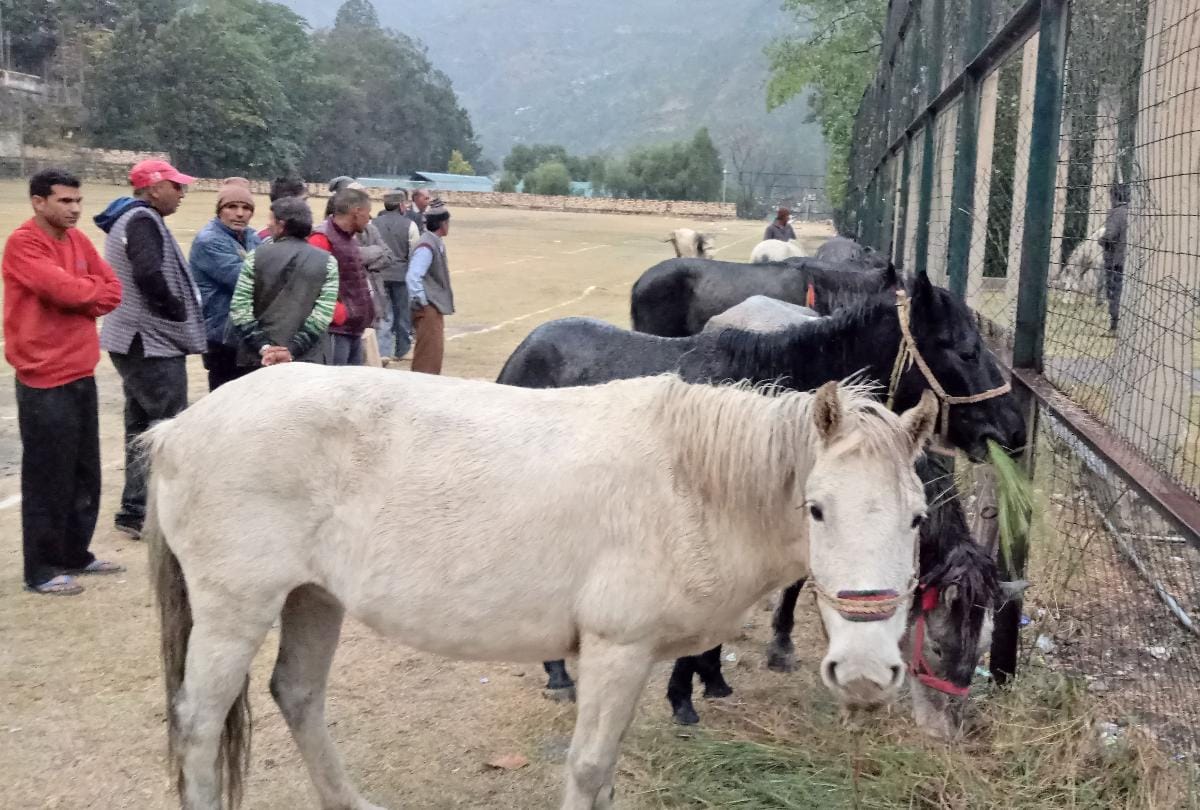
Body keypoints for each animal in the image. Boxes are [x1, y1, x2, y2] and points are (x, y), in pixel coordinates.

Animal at [147, 365, 937, 810]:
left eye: (918, 518)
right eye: (816, 508)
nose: (866, 674)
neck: (688, 485)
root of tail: (179, 427)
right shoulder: (617, 652)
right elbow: (589, 770)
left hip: (315, 597)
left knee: (298, 696)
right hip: (236, 608)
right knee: (198, 723)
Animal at [498, 274, 1026, 734]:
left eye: (981, 644)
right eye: (966, 349)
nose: (1013, 431)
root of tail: (525, 349)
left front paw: (711, 677)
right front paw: (683, 695)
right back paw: (558, 674)